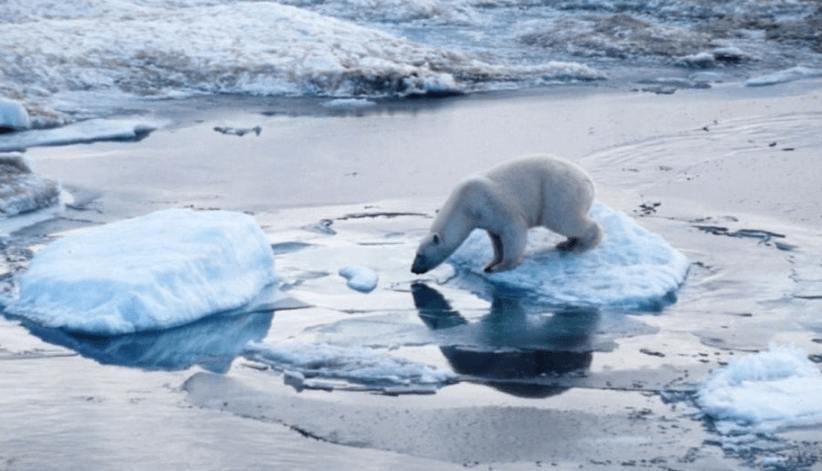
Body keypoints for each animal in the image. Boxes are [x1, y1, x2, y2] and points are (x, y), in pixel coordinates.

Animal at [412, 156, 604, 272]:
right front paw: (490, 263)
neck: (465, 205)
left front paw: (501, 266)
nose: (413, 269)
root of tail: (589, 181)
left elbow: (513, 231)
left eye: (420, 254)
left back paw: (583, 246)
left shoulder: (493, 204)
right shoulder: (487, 218)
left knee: (564, 220)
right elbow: (496, 240)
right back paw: (566, 243)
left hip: (559, 192)